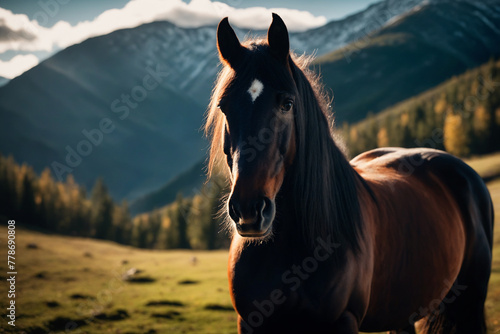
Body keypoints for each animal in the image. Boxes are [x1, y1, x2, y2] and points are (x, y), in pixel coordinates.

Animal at [205, 13, 494, 334]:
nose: (249, 210)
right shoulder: (250, 322)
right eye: (224, 106)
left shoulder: (343, 320)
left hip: (471, 297)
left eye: (287, 104)